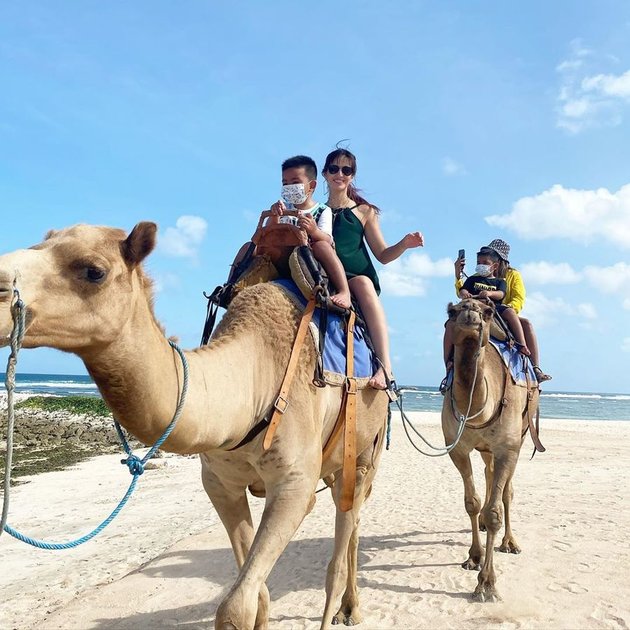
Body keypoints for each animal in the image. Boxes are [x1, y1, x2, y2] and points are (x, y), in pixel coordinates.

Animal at [0, 225, 390, 628]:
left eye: (94, 271)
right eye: (38, 243)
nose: (2, 288)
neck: (254, 378)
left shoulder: (294, 484)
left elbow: (235, 606)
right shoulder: (219, 483)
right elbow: (258, 595)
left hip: (366, 451)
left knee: (344, 539)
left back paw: (347, 609)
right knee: (353, 523)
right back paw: (349, 607)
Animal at [442, 298, 540, 604]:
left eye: (487, 312)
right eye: (451, 312)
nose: (469, 314)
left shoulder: (508, 448)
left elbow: (496, 511)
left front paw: (487, 585)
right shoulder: (457, 449)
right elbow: (471, 504)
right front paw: (474, 557)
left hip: (521, 437)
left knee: (507, 490)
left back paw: (510, 542)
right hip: (486, 449)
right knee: (488, 472)